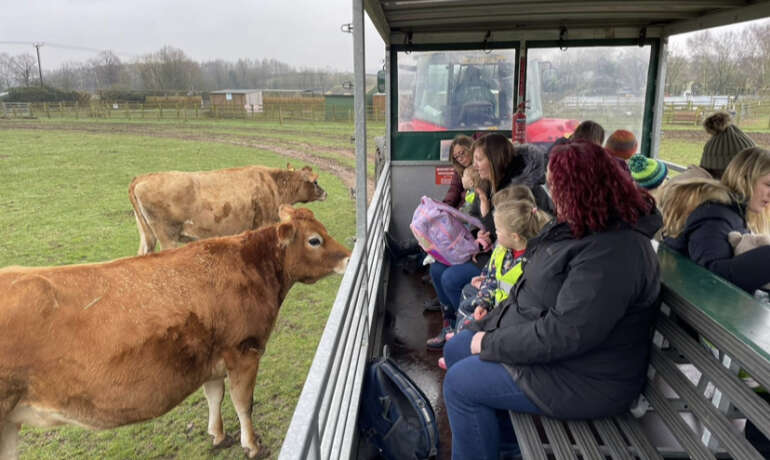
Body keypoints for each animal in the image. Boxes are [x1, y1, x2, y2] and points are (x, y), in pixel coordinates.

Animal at [0, 207, 348, 458]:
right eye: (315, 240)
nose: (347, 256)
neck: (248, 265)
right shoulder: (244, 351)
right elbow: (242, 402)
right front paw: (252, 445)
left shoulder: (212, 357)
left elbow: (215, 395)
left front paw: (218, 435)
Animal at [129, 163, 328, 255]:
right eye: (315, 182)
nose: (325, 193)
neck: (273, 184)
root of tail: (141, 178)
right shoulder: (264, 222)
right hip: (167, 237)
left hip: (147, 235)